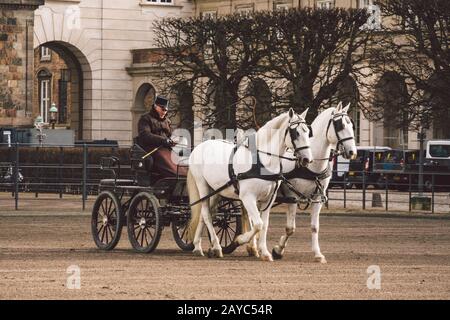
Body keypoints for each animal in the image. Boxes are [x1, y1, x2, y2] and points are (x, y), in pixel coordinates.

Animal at [186, 109, 312, 262]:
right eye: (296, 133)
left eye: (307, 131)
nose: (307, 159)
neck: (263, 161)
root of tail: (199, 147)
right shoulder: (248, 197)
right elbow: (258, 224)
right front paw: (240, 240)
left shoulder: (268, 199)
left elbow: (264, 225)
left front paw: (264, 252)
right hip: (202, 186)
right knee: (206, 214)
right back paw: (216, 247)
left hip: (216, 191)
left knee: (206, 214)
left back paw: (198, 246)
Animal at [255, 102, 356, 262]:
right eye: (340, 125)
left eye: (352, 125)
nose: (353, 152)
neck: (312, 166)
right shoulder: (292, 197)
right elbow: (290, 228)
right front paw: (278, 250)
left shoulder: (318, 198)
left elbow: (315, 227)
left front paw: (318, 254)